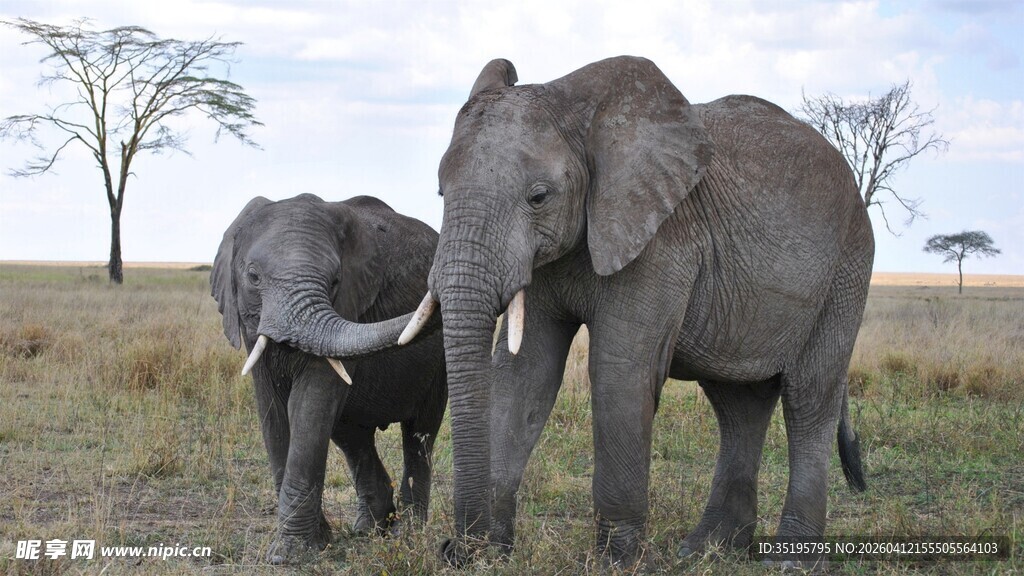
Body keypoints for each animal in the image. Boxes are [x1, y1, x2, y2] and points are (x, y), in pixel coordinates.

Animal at [210, 193, 447, 564]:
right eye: (253, 276)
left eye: (335, 281)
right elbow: (273, 412)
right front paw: (315, 544)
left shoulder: (349, 304)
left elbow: (309, 404)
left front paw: (292, 554)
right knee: (352, 435)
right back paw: (368, 529)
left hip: (438, 365)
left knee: (419, 433)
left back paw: (406, 535)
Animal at [396, 56, 873, 567]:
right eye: (441, 193)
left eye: (538, 197)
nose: (453, 549)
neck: (581, 114)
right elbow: (524, 374)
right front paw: (494, 554)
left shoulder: (661, 239)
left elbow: (618, 372)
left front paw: (616, 562)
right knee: (738, 404)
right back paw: (705, 550)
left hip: (846, 268)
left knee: (809, 396)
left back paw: (789, 558)